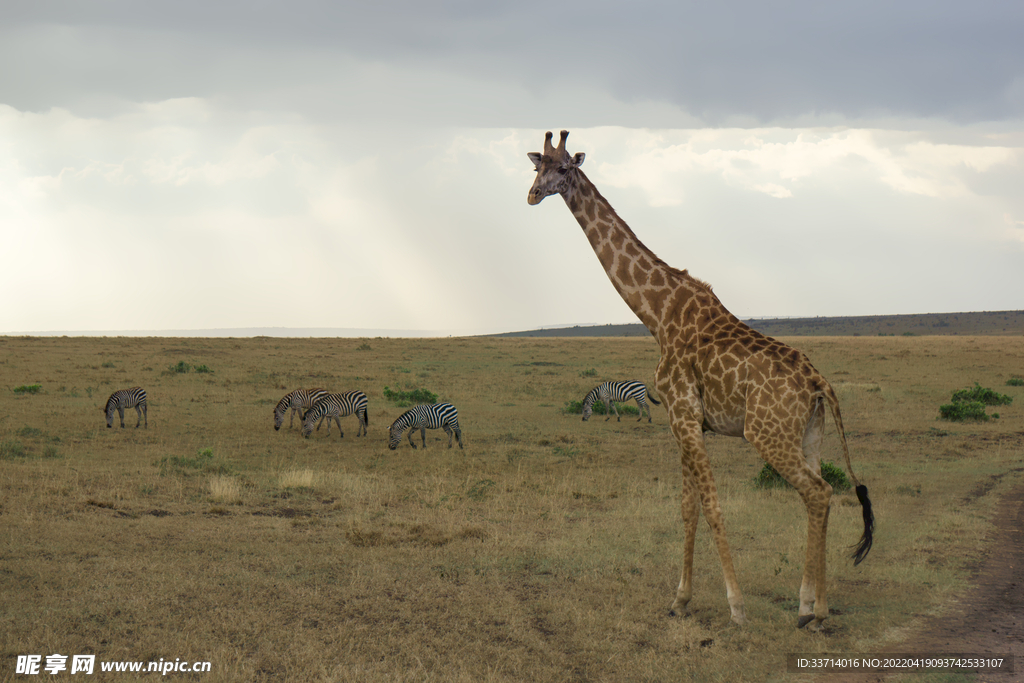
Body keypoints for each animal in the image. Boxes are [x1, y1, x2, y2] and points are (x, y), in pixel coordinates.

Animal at [528, 129, 872, 630]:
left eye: (565, 168)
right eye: (537, 167)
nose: (533, 194)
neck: (658, 314)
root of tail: (818, 383)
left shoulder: (683, 415)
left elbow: (709, 504)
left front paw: (736, 607)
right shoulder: (687, 421)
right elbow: (687, 507)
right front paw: (680, 600)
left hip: (766, 434)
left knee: (818, 491)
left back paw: (812, 608)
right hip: (810, 434)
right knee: (820, 496)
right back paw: (812, 606)